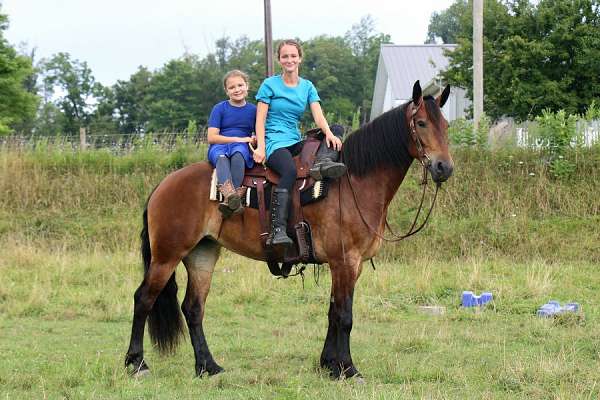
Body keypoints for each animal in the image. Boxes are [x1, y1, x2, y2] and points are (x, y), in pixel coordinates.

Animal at [124, 79, 452, 380]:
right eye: (421, 123)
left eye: (446, 125)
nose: (443, 168)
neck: (353, 182)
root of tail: (164, 185)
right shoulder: (345, 261)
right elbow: (344, 316)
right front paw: (347, 368)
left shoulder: (348, 265)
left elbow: (332, 312)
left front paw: (328, 364)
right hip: (167, 256)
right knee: (143, 299)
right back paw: (137, 364)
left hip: (201, 254)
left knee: (193, 308)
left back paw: (207, 366)